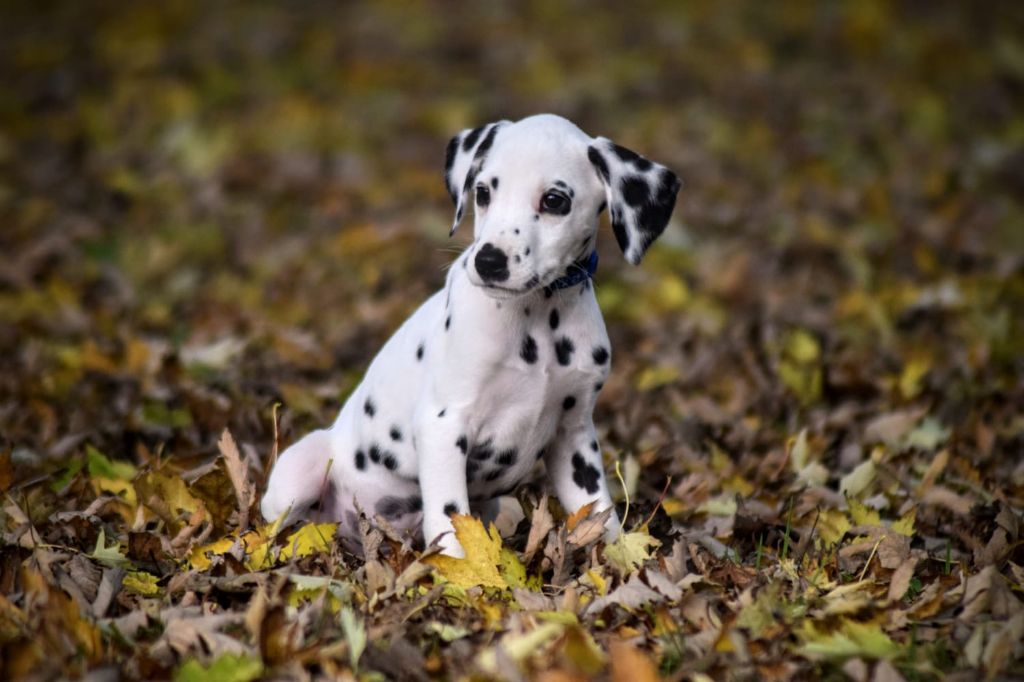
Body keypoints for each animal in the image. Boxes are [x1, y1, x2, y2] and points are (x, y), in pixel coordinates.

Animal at [264, 112, 679, 552]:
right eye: (482, 192)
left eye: (554, 200)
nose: (489, 261)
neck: (539, 319)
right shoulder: (443, 425)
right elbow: (450, 519)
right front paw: (460, 565)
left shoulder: (575, 433)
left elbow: (599, 512)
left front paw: (619, 554)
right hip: (298, 471)